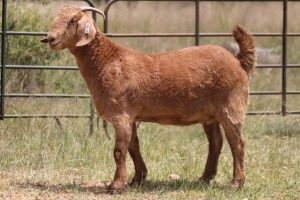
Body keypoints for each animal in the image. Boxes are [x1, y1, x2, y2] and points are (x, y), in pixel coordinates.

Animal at [39, 5, 255, 194]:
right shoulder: (130, 116)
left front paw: (116, 186)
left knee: (238, 142)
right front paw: (138, 179)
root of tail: (238, 60)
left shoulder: (121, 114)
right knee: (216, 143)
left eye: (73, 20)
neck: (108, 61)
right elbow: (133, 147)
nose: (51, 39)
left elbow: (119, 151)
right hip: (210, 114)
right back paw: (204, 179)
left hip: (231, 105)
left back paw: (236, 183)